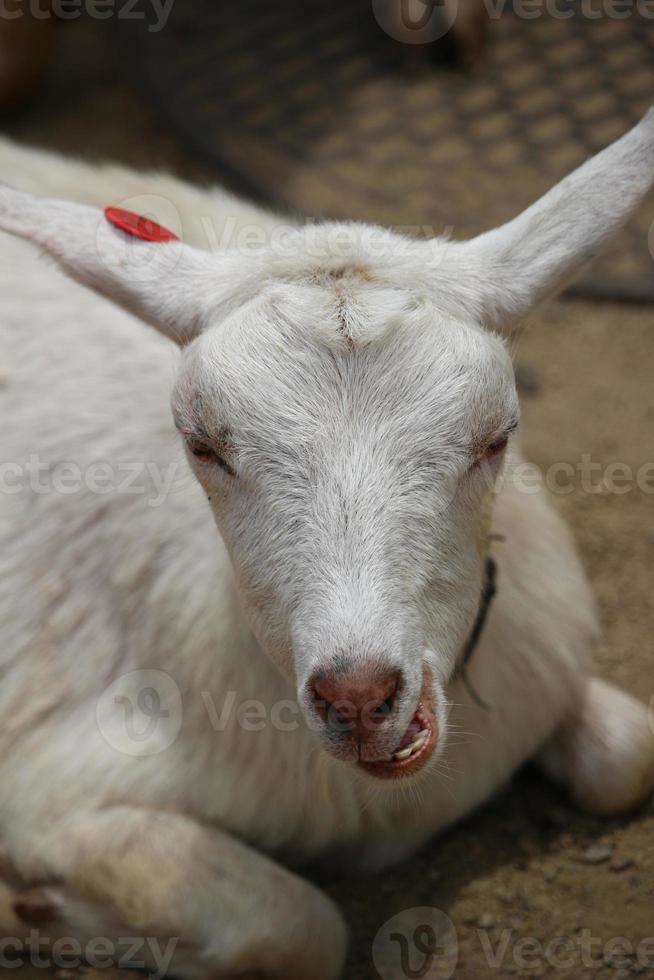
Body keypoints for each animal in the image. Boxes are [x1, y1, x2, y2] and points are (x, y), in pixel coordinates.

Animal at [0, 111, 652, 976]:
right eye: (201, 444)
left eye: (498, 435)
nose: (360, 696)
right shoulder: (48, 788)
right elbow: (298, 929)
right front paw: (31, 908)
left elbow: (630, 753)